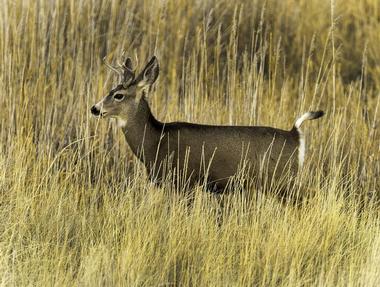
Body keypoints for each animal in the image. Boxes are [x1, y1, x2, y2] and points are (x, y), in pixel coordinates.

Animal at [90, 55, 324, 194]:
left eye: (118, 95)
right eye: (111, 91)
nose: (94, 108)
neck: (155, 141)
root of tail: (294, 135)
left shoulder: (184, 180)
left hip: (280, 178)